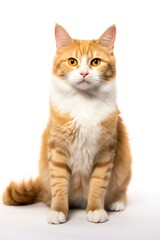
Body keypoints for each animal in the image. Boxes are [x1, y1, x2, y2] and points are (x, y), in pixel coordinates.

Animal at [2, 23, 132, 223]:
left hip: (124, 170)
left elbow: (98, 186)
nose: (84, 73)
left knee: (119, 190)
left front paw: (95, 209)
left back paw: (115, 202)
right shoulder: (57, 151)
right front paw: (59, 210)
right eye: (72, 62)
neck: (84, 102)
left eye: (95, 62)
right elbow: (59, 186)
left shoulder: (105, 152)